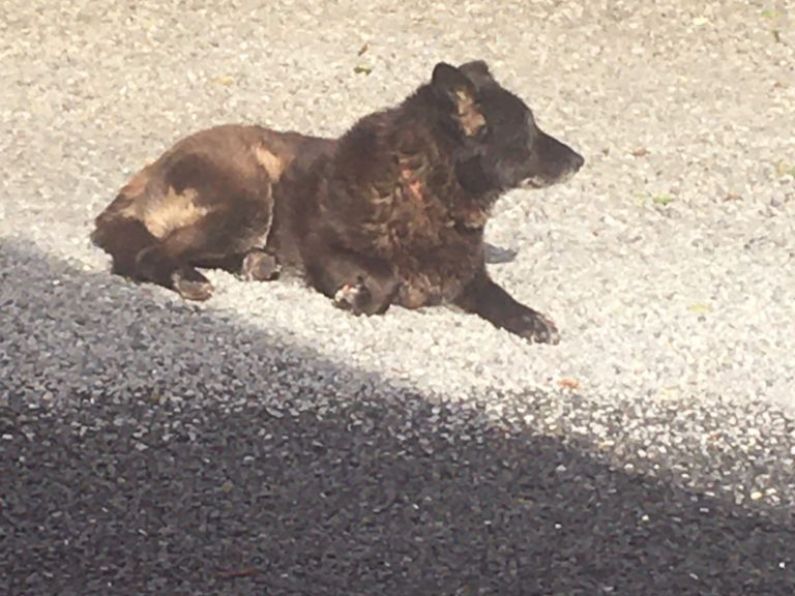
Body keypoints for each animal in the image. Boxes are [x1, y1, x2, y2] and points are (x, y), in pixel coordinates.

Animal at [95, 61, 584, 344]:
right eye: (528, 130)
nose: (581, 160)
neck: (422, 189)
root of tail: (150, 170)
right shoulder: (326, 254)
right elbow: (384, 278)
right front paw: (357, 297)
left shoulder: (467, 277)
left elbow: (501, 298)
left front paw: (530, 318)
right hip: (250, 197)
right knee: (147, 253)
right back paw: (188, 278)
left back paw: (255, 263)